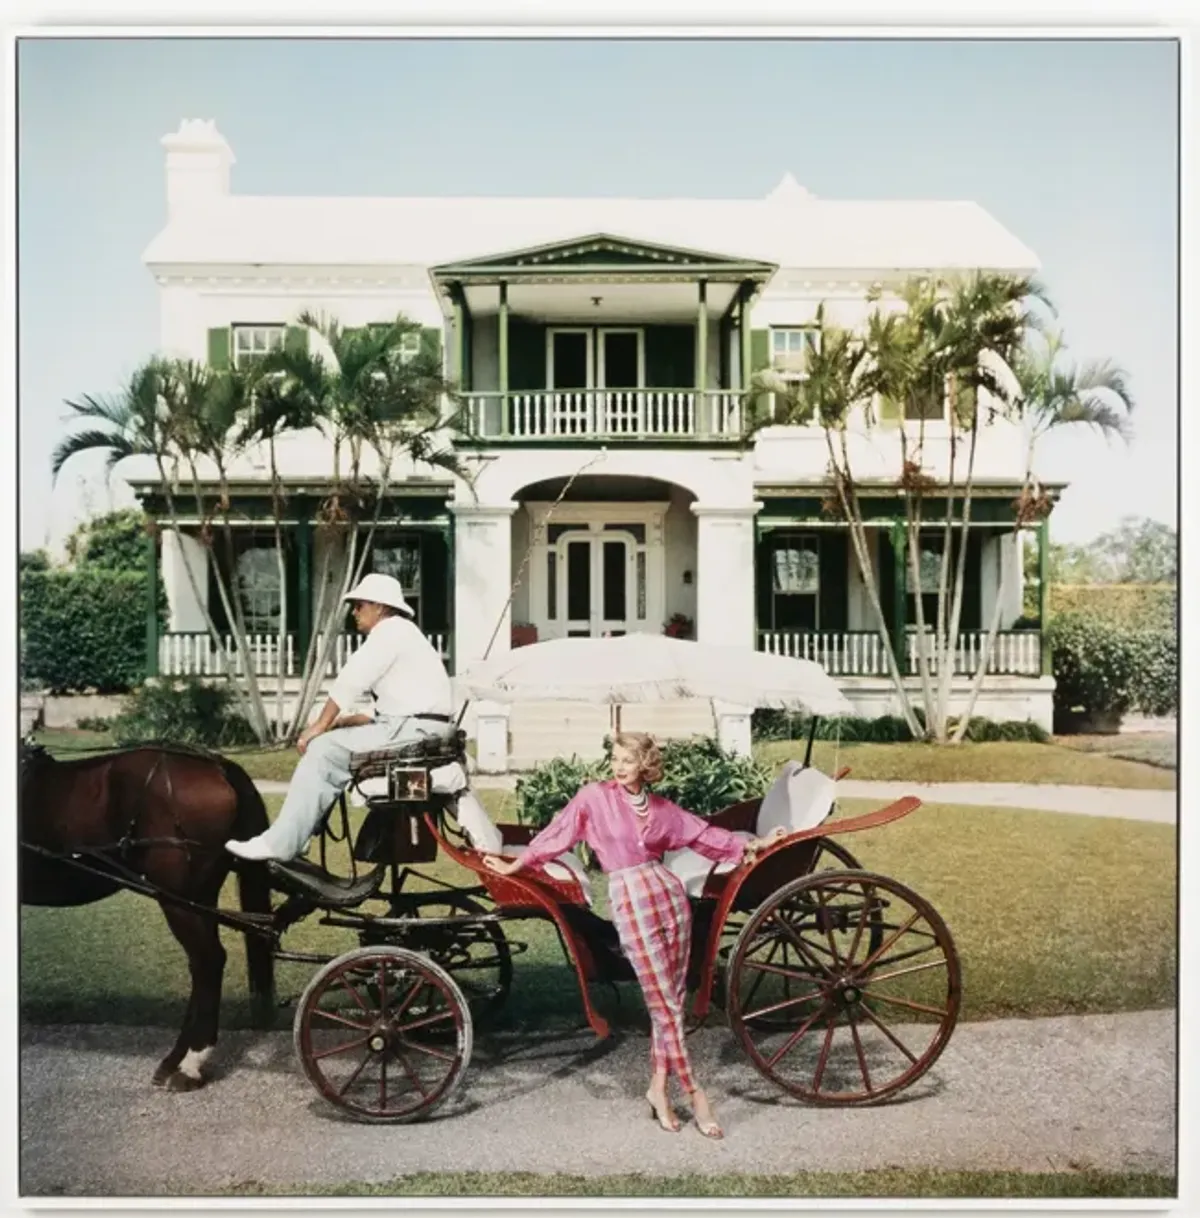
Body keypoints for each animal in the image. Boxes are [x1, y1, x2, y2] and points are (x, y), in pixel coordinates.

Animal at [19, 740, 277, 1096]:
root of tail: (216, 764)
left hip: (177, 899)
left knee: (208, 961)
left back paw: (191, 1064)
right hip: (198, 898)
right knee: (202, 965)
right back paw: (176, 1059)